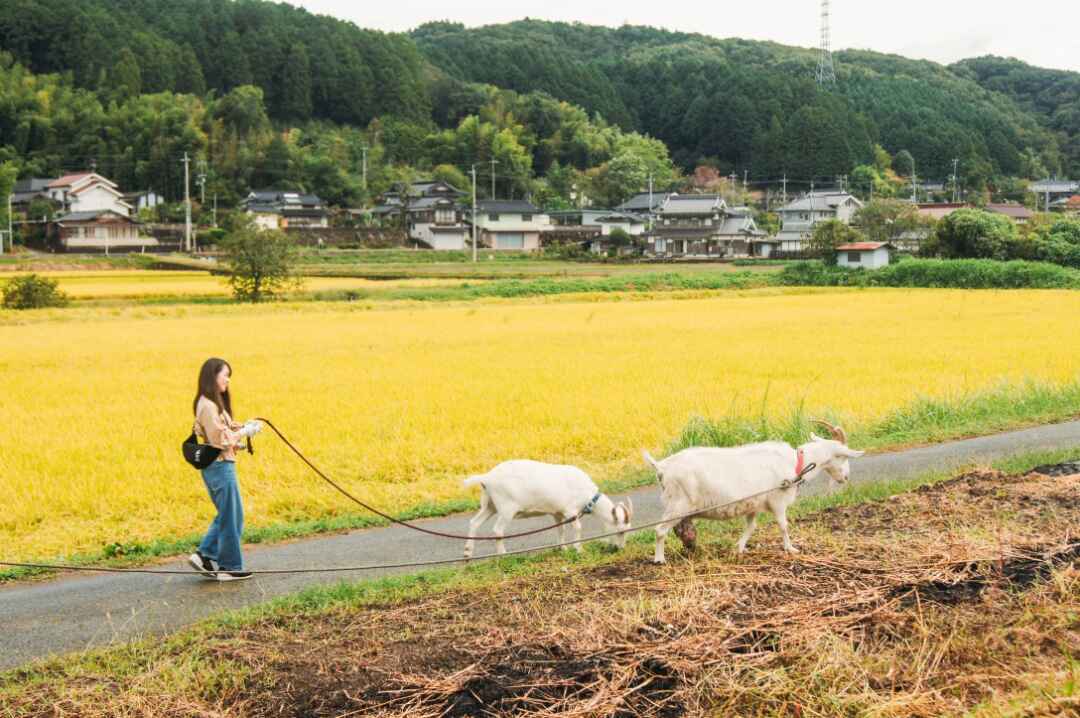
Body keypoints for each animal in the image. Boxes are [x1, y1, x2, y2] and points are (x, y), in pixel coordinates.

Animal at [462, 462, 630, 557]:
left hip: (489, 505)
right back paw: (503, 554)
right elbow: (578, 528)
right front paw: (578, 549)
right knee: (497, 530)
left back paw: (467, 552)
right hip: (506, 508)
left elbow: (560, 529)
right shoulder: (570, 511)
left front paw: (562, 548)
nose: (620, 549)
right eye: (620, 531)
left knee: (474, 522)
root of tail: (487, 478)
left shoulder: (557, 512)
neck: (589, 496)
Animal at [639, 416, 859, 561]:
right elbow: (783, 525)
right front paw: (790, 548)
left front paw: (740, 548)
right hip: (678, 504)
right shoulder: (778, 501)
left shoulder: (753, 504)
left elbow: (751, 526)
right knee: (660, 530)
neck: (796, 463)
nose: (846, 478)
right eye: (843, 457)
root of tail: (662, 467)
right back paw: (660, 559)